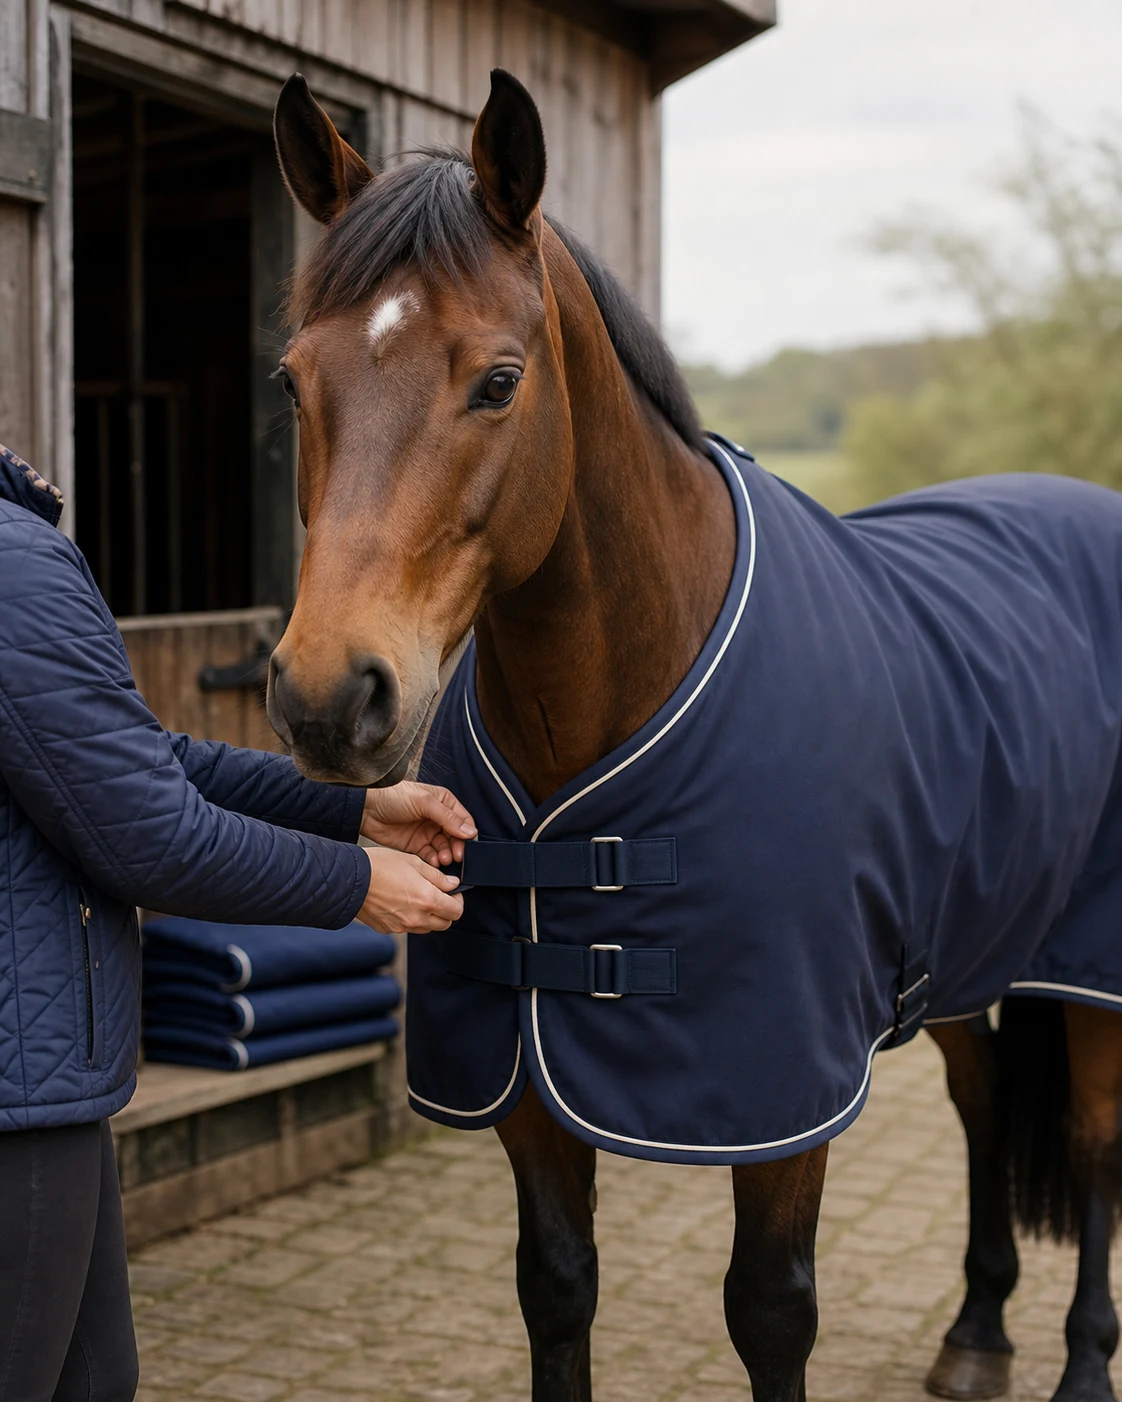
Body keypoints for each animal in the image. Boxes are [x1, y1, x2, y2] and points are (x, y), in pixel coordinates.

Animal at [266, 68, 1122, 1402]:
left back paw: (1083, 1364)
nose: (326, 696)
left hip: (1089, 970)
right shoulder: (526, 1079)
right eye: (294, 381)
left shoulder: (781, 1092)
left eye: (498, 380)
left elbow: (769, 1311)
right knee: (986, 1109)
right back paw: (978, 1330)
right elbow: (557, 1289)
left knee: (1090, 1144)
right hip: (976, 947)